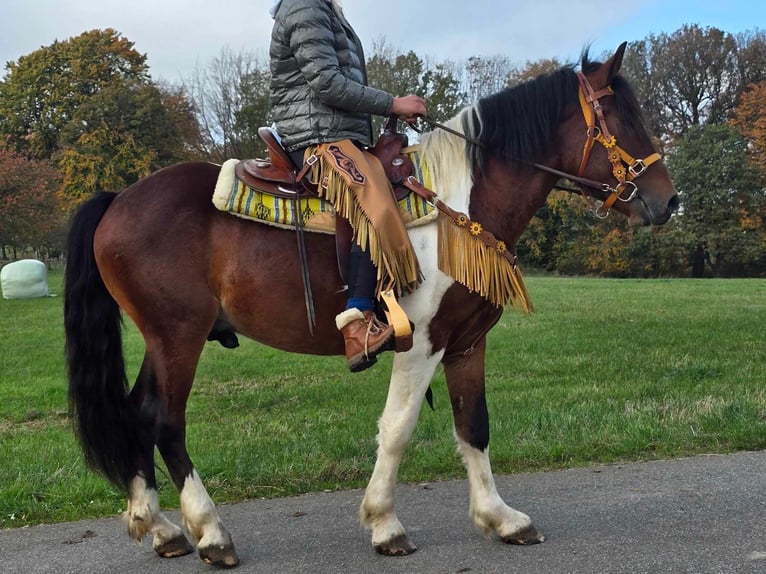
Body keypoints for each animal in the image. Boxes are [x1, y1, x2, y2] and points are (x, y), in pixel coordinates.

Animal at [64, 42, 680, 568]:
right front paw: (386, 524)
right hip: (179, 336)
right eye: (621, 116)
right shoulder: (422, 340)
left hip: (162, 337)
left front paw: (501, 519)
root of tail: (118, 198)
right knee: (163, 419)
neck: (460, 203)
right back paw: (210, 533)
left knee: (135, 411)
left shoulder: (466, 341)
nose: (668, 201)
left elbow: (473, 425)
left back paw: (161, 528)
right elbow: (400, 427)